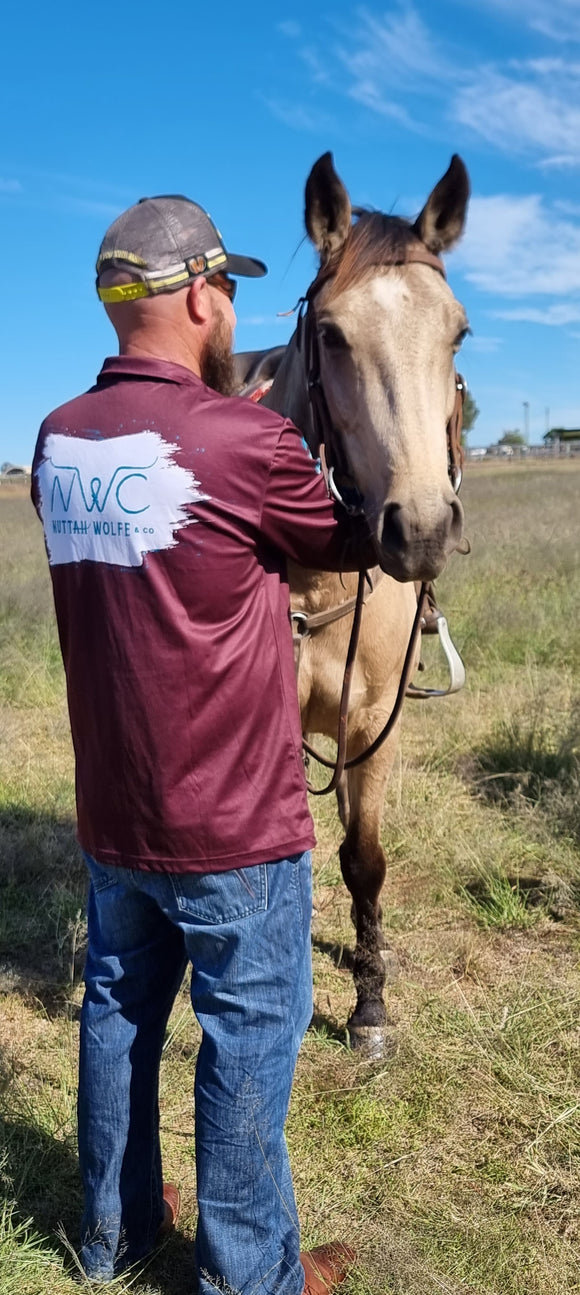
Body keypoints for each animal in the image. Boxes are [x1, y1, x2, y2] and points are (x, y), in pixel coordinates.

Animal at [233, 154, 468, 1061]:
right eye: (331, 335)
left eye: (457, 333)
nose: (423, 528)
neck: (320, 579)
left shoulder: (374, 722)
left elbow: (363, 857)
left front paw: (369, 1005)